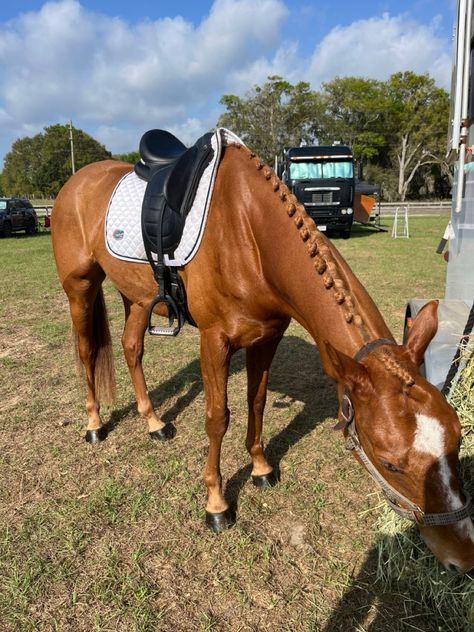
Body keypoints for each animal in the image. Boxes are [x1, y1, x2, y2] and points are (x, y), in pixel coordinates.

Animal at [51, 142, 474, 572]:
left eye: (457, 437)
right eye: (390, 463)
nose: (463, 554)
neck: (249, 232)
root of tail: (77, 181)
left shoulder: (266, 338)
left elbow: (257, 403)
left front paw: (260, 468)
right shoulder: (214, 341)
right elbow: (217, 419)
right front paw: (216, 503)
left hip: (137, 299)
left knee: (131, 348)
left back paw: (154, 423)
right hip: (80, 288)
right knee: (87, 351)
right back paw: (94, 424)